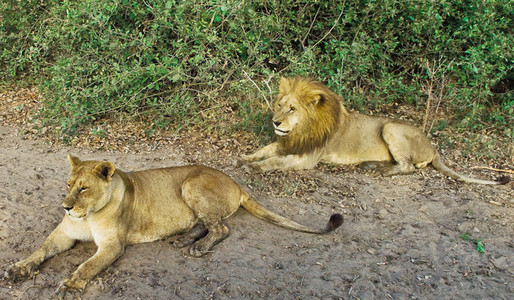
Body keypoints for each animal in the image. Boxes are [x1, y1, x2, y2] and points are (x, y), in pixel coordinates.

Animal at [6, 155, 342, 298]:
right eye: (68, 185)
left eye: (84, 188)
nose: (65, 206)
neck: (87, 215)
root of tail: (237, 183)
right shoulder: (64, 234)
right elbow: (40, 249)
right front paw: (19, 269)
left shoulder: (113, 245)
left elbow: (86, 266)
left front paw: (70, 285)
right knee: (206, 223)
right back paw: (184, 240)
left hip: (191, 184)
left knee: (221, 229)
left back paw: (197, 248)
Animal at [240, 77, 508, 185]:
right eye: (279, 105)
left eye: (292, 109)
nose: (275, 122)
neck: (300, 130)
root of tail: (432, 147)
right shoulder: (287, 142)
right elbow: (266, 149)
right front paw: (246, 157)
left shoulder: (306, 158)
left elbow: (275, 161)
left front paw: (255, 167)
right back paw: (372, 165)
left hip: (390, 128)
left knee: (408, 167)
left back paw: (382, 171)